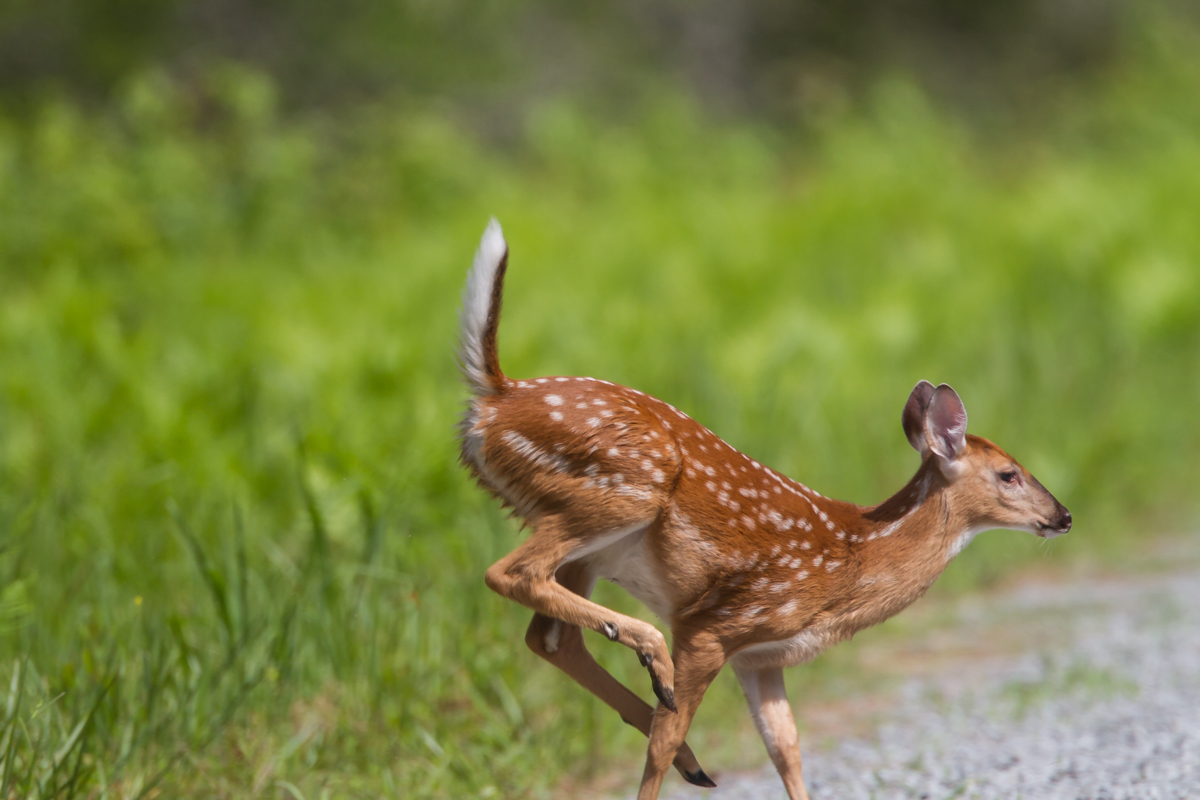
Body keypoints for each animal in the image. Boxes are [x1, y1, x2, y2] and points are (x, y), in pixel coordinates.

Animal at [457, 220, 1072, 800]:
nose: (1063, 516)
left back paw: (692, 758)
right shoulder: (715, 623)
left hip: (591, 541)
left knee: (549, 637)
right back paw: (654, 661)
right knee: (510, 573)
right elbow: (664, 741)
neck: (854, 558)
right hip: (619, 493)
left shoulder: (763, 655)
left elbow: (786, 747)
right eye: (1009, 474)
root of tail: (494, 399)